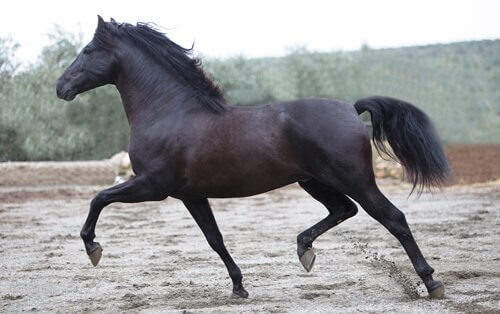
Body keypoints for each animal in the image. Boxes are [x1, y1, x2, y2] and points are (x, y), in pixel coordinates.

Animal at [55, 16, 450, 300]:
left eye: (88, 50)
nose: (61, 87)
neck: (170, 112)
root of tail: (351, 108)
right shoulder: (191, 195)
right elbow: (215, 239)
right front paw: (238, 287)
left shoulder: (153, 186)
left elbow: (99, 198)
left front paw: (93, 248)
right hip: (314, 181)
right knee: (343, 210)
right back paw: (304, 250)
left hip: (355, 179)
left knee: (393, 218)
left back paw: (431, 284)